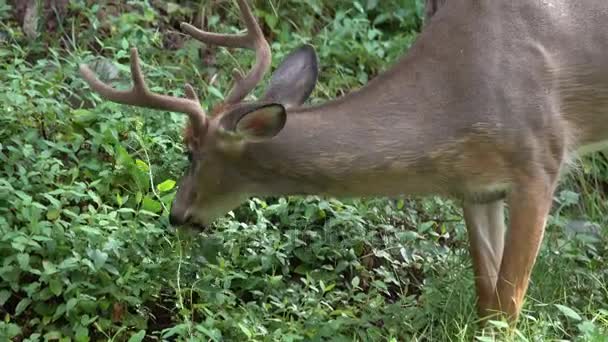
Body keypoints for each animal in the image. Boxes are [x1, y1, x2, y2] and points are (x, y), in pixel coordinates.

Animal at [79, 0, 608, 326]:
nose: (177, 214)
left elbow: (509, 305)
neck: (455, 98)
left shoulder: (538, 163)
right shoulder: (475, 189)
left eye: (190, 150)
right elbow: (487, 305)